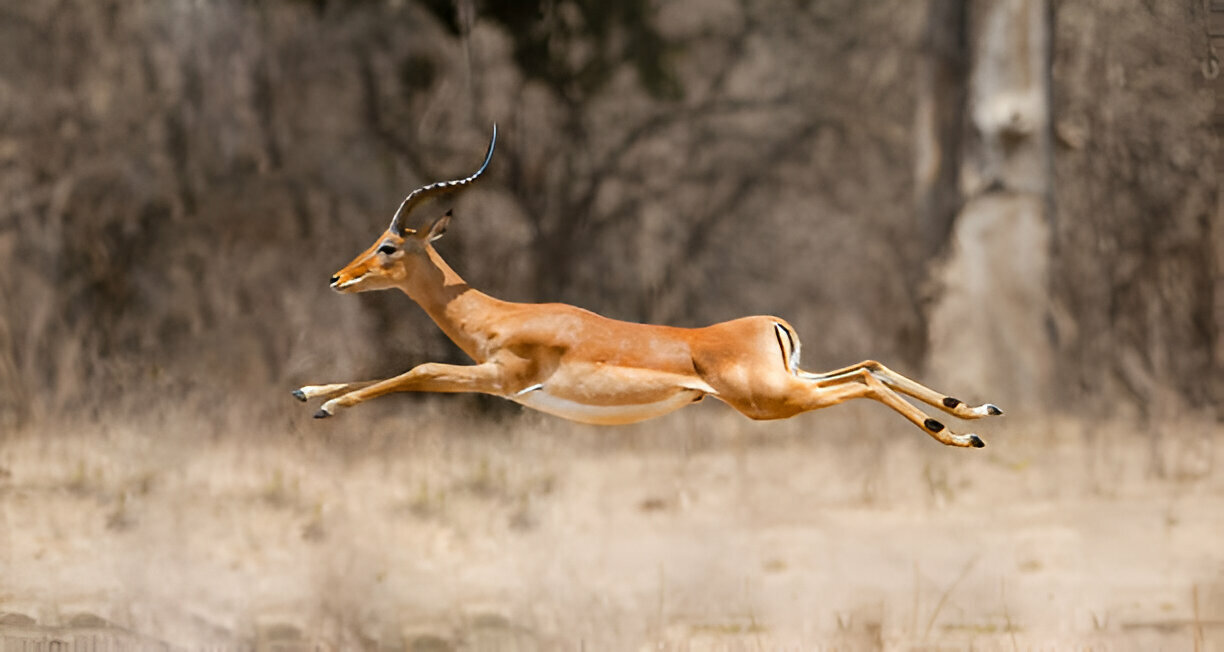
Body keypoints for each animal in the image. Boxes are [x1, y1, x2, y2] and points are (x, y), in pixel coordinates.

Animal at [293, 126, 1002, 447]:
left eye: (389, 246)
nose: (337, 276)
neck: (498, 315)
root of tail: (772, 325)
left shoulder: (500, 381)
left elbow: (413, 369)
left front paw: (328, 406)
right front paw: (308, 391)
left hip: (771, 400)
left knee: (865, 382)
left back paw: (958, 434)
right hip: (790, 382)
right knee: (870, 365)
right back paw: (972, 413)